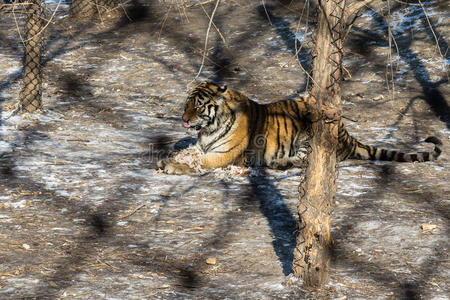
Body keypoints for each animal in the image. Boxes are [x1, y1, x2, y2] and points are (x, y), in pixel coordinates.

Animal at [158, 82, 442, 176]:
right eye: (186, 102)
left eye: (198, 104)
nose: (183, 118)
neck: (208, 129)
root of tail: (346, 133)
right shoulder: (201, 145)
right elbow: (190, 153)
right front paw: (168, 158)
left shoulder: (224, 154)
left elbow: (202, 163)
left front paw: (173, 166)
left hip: (310, 131)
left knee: (307, 160)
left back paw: (280, 163)